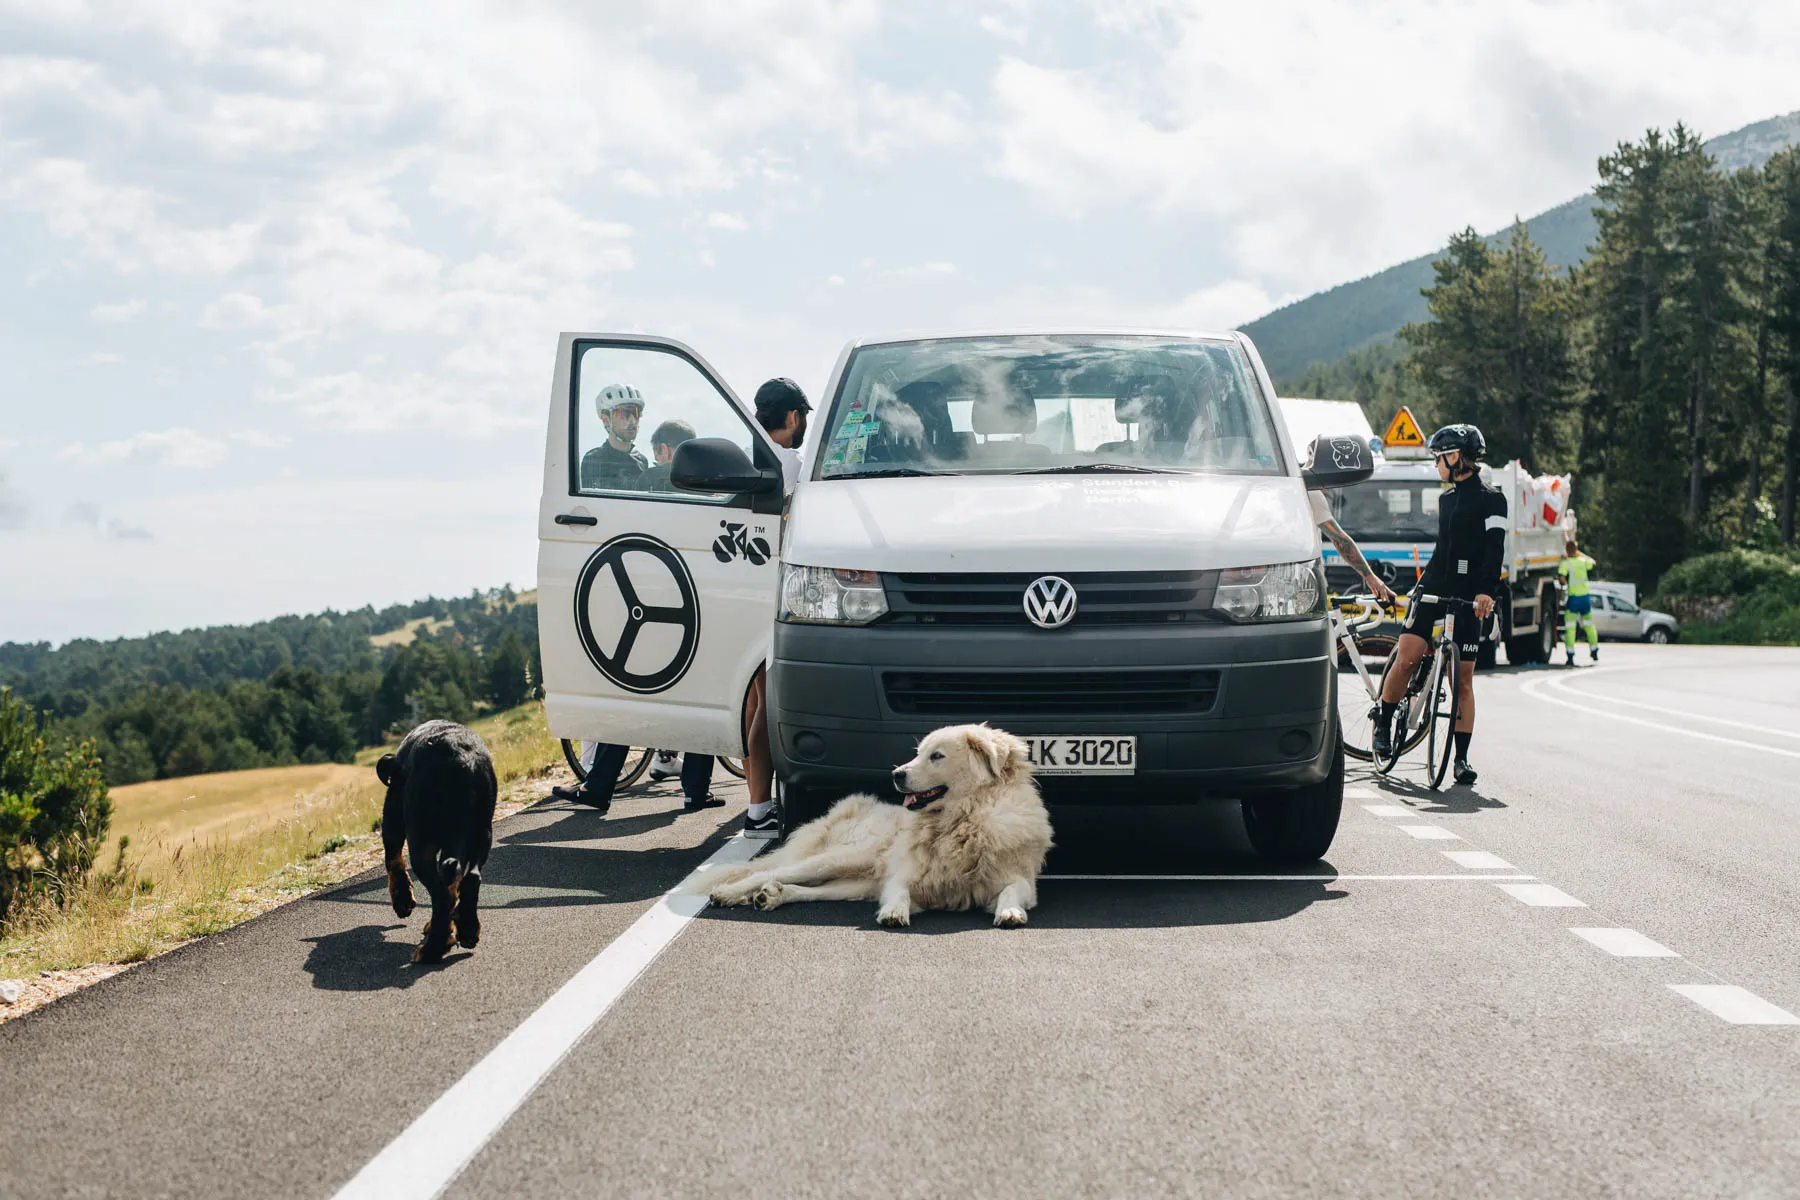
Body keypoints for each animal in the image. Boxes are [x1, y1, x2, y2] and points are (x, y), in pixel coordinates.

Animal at [376, 723, 496, 964]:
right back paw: (467, 929)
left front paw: (402, 899)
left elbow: (393, 859)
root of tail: (462, 762)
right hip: (481, 834)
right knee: (469, 879)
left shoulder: (393, 813)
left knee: (441, 896)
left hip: (421, 844)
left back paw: (433, 948)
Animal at [687, 723, 1051, 928]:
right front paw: (893, 913)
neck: (963, 817)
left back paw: (772, 897)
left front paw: (1010, 913)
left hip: (854, 883)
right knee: (767, 871)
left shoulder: (1018, 880)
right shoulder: (904, 877)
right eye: (918, 752)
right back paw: (728, 893)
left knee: (805, 889)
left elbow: (1011, 892)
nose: (896, 774)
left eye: (936, 756)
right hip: (842, 857)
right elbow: (899, 893)